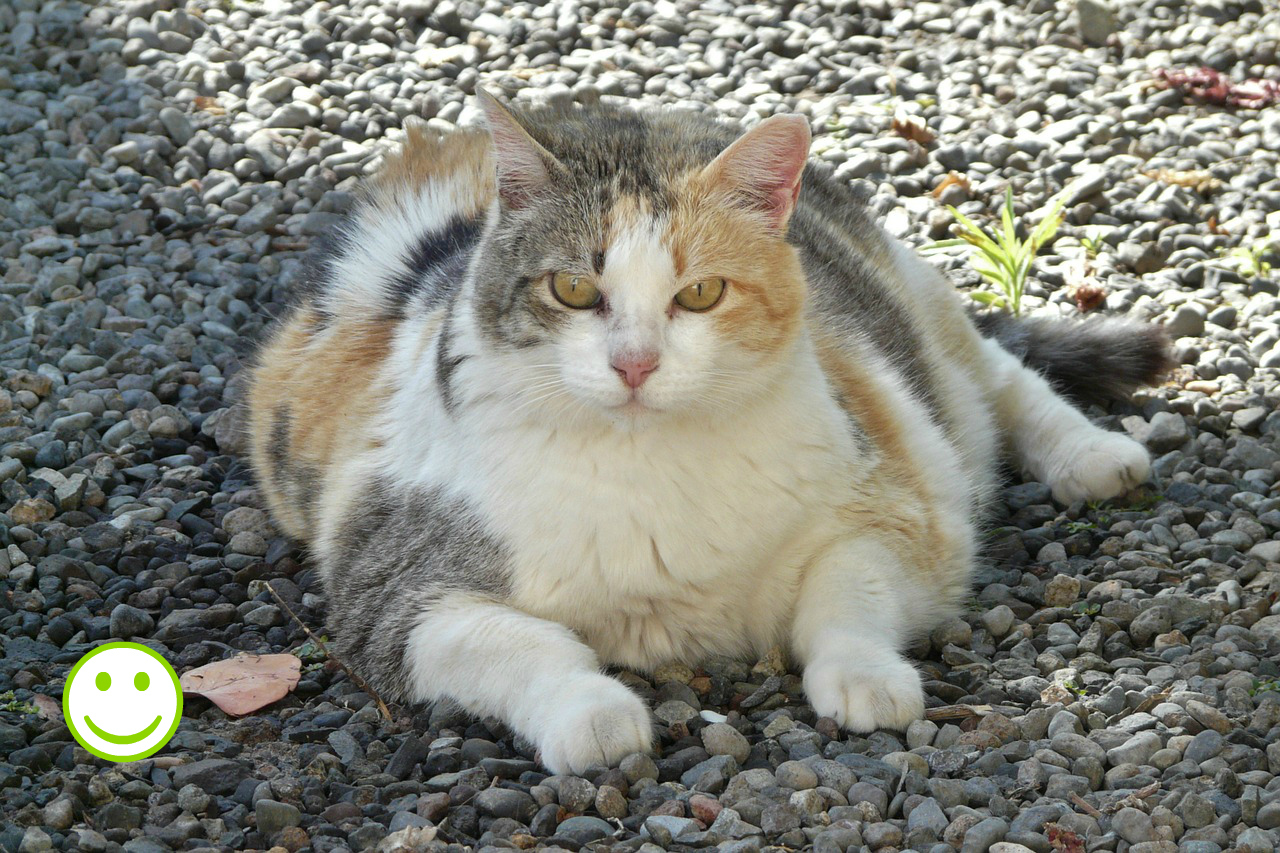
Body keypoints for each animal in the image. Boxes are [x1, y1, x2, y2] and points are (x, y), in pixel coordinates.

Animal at [241, 91, 1172, 768]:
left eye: (700, 294)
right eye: (573, 291)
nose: (635, 362)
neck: (646, 466)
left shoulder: (902, 507)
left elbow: (846, 594)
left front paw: (867, 678)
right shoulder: (391, 592)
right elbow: (518, 642)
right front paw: (594, 715)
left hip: (922, 320)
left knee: (998, 376)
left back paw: (1092, 455)